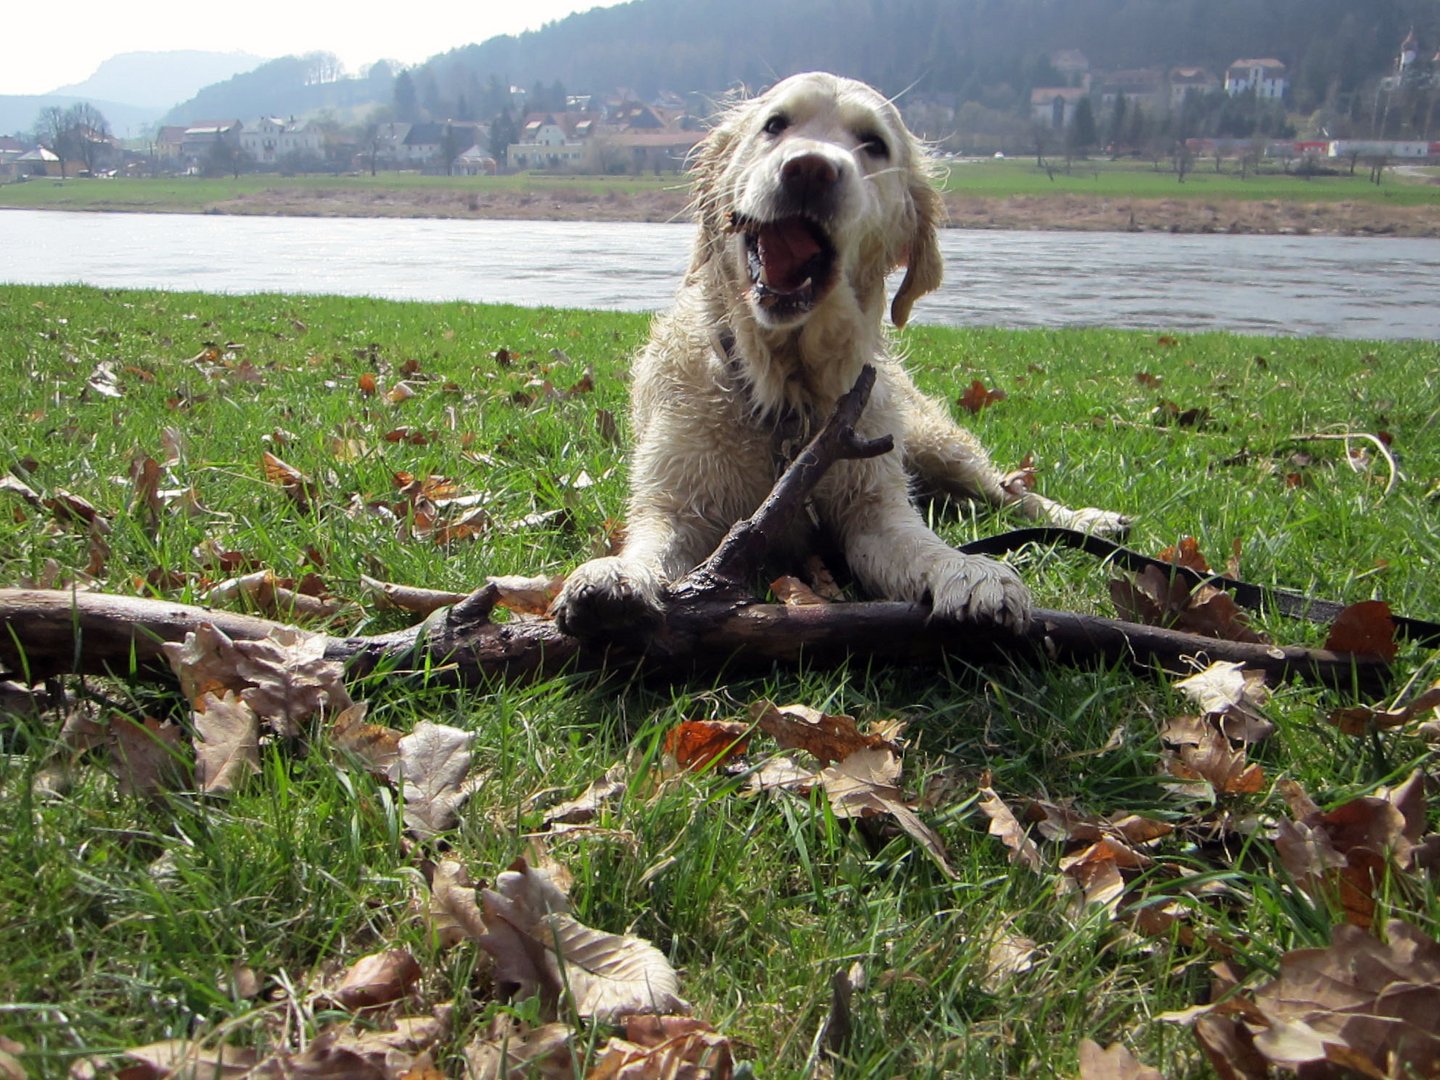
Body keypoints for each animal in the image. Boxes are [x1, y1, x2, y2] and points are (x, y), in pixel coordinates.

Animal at [550, 72, 1123, 639]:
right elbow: (652, 541)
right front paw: (617, 575)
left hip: (934, 440)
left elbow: (921, 544)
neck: (785, 385)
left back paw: (1088, 519)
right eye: (774, 125)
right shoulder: (676, 501)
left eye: (873, 143)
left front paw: (968, 571)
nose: (810, 168)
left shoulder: (874, 511)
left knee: (1007, 489)